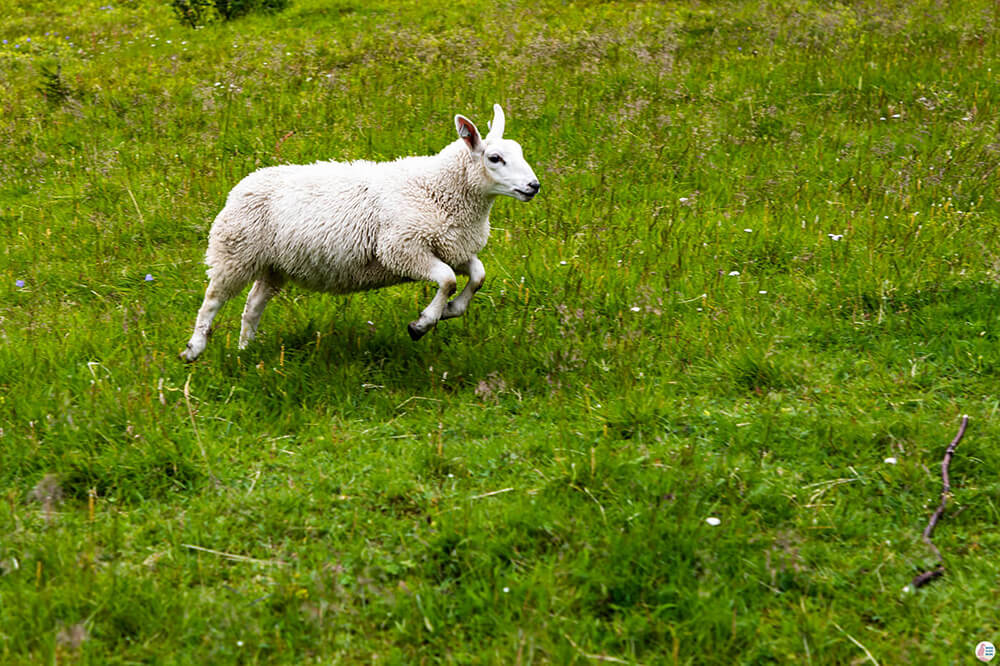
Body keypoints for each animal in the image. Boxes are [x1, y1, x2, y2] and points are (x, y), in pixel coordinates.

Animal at [180, 104, 540, 360]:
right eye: (495, 158)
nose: (533, 186)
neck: (439, 188)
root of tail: (245, 182)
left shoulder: (452, 246)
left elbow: (477, 276)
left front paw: (450, 311)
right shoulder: (403, 249)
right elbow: (448, 280)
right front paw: (422, 324)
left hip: (274, 265)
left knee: (253, 304)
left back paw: (246, 349)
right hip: (235, 251)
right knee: (212, 299)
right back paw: (194, 348)